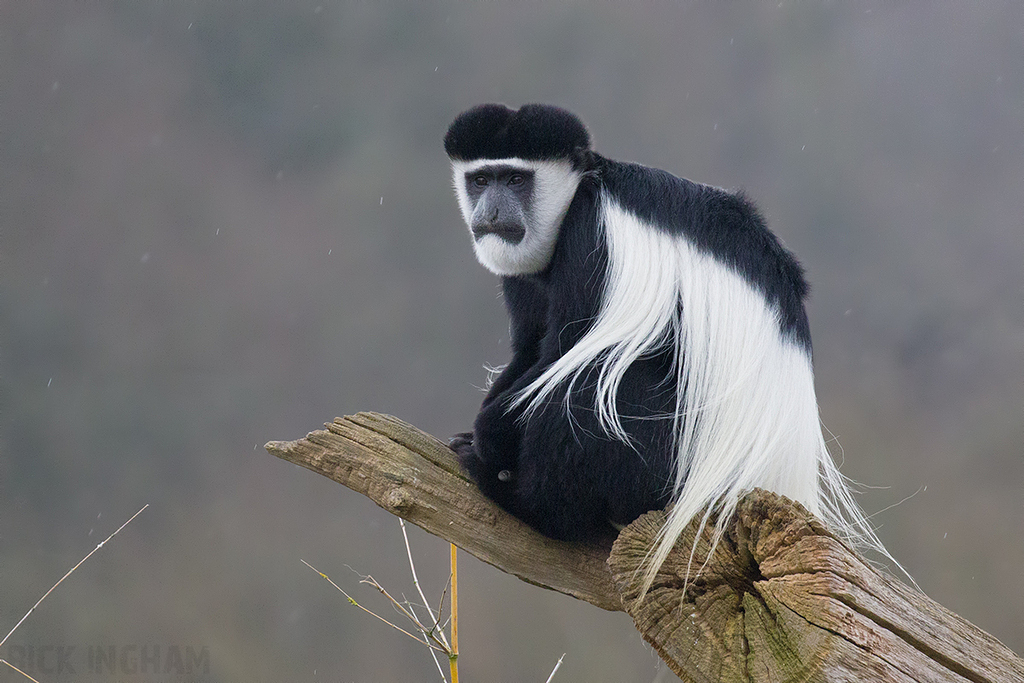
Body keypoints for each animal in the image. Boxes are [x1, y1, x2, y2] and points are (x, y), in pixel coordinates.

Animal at [444, 102, 884, 589]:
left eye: (516, 180)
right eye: (480, 180)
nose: (490, 212)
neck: (580, 191)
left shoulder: (594, 233)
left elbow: (566, 346)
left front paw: (488, 437)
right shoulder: (523, 274)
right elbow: (528, 348)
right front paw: (480, 432)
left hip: (670, 465)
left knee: (596, 385)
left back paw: (528, 503)